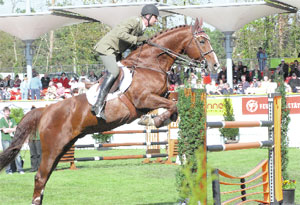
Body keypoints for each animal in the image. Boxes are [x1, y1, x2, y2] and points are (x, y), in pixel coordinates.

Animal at [0, 18, 218, 205]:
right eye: (201, 41)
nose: (214, 65)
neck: (150, 64)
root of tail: (45, 110)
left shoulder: (160, 95)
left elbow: (175, 101)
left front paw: (160, 119)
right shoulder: (143, 99)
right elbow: (172, 105)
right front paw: (153, 121)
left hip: (62, 147)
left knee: (45, 178)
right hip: (53, 147)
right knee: (40, 177)